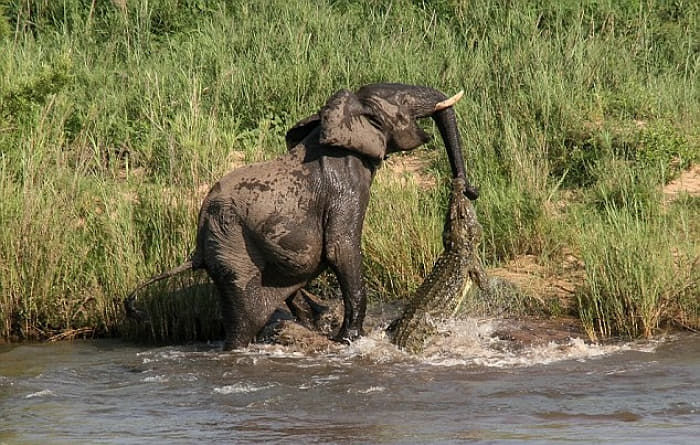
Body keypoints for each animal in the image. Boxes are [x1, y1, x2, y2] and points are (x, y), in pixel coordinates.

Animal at [126, 81, 478, 348]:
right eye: (404, 100)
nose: (468, 190)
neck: (344, 116)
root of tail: (198, 247)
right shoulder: (345, 186)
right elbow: (341, 249)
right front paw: (350, 339)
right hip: (232, 252)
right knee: (243, 321)